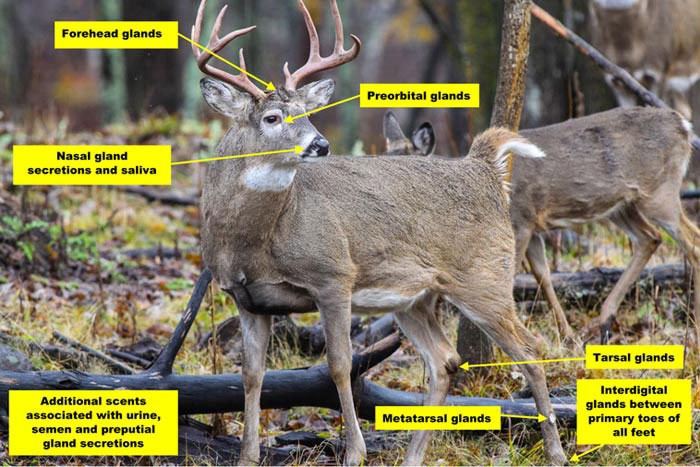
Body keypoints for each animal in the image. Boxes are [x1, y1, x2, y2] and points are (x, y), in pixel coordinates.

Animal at [190, 0, 567, 465]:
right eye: (272, 117)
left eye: (309, 113)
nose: (320, 144)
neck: (256, 242)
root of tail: (483, 168)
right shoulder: (246, 299)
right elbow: (251, 374)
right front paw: (247, 454)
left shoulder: (333, 275)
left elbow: (338, 364)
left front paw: (355, 452)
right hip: (415, 299)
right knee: (445, 360)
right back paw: (413, 457)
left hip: (484, 277)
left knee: (531, 349)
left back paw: (556, 451)